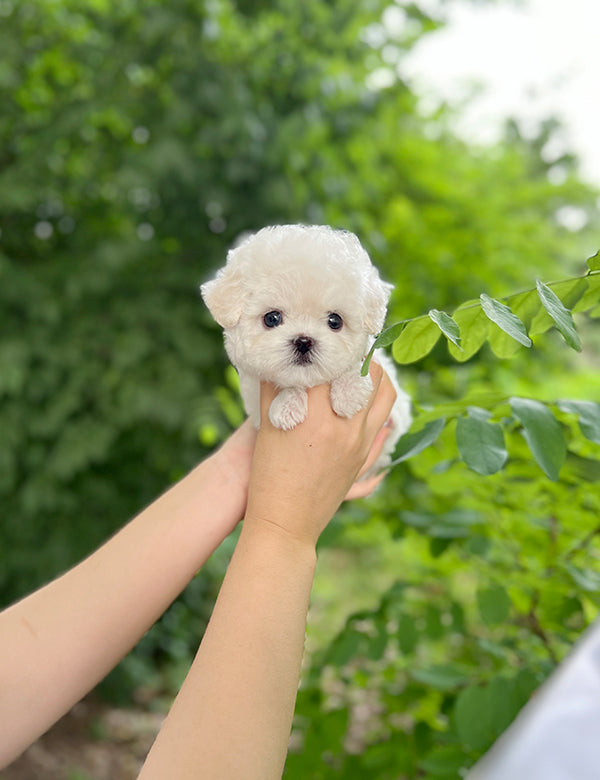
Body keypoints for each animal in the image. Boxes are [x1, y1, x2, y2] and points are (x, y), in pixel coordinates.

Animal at [199, 224, 410, 476]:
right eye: (272, 318)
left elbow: (358, 365)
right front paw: (287, 405)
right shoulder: (253, 397)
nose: (303, 341)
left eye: (335, 321)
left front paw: (349, 392)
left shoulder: (396, 413)